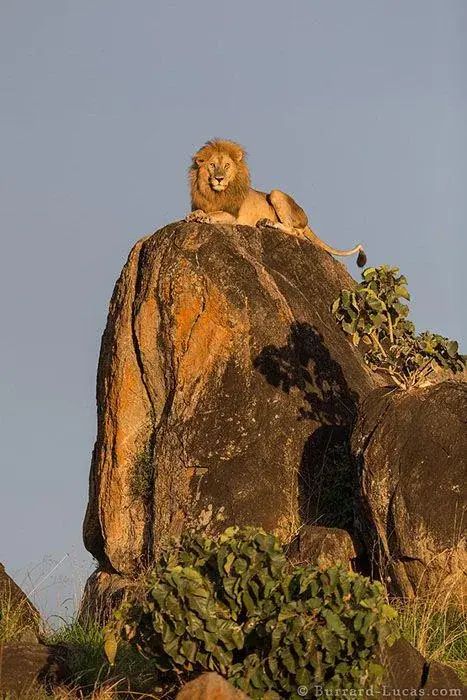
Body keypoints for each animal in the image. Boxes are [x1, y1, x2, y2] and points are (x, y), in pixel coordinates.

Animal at [186, 139, 366, 266]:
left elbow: (217, 214)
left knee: (293, 231)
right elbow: (198, 211)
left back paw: (268, 222)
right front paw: (193, 216)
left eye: (227, 165)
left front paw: (205, 218)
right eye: (212, 165)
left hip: (275, 193)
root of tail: (305, 219)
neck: (214, 193)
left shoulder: (232, 215)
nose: (219, 178)